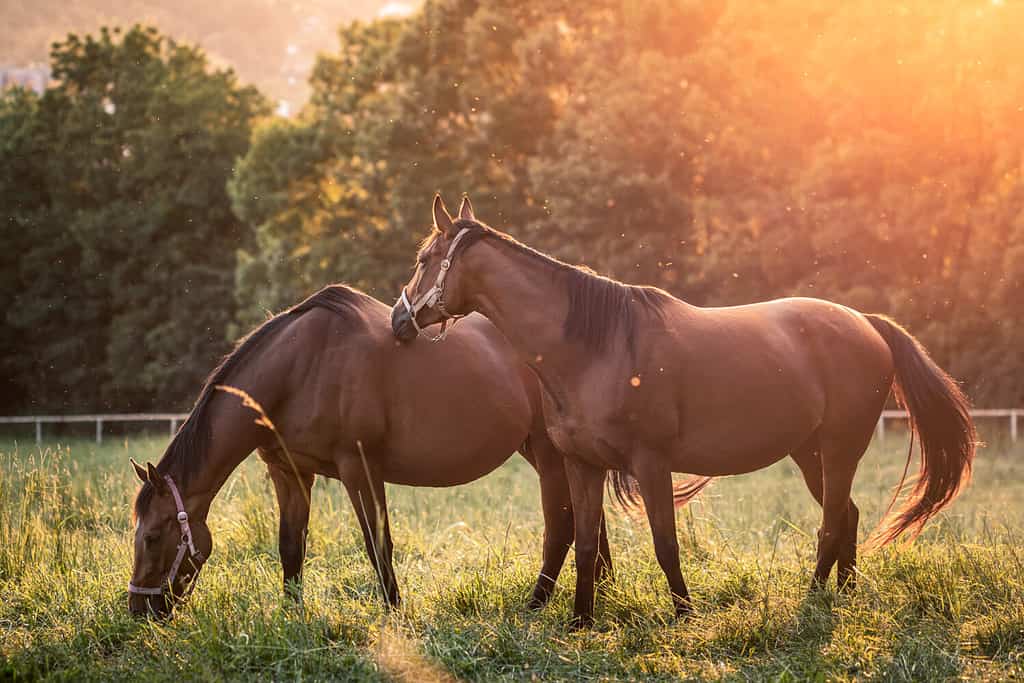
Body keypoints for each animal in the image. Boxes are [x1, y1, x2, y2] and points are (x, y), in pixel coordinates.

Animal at [128, 282, 610, 618]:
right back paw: (602, 593)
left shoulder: (359, 468)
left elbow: (378, 543)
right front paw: (291, 613)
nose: (139, 610)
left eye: (152, 537)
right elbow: (290, 546)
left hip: (549, 455)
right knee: (591, 521)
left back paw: (542, 605)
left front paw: (394, 612)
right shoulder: (290, 473)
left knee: (562, 527)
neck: (299, 368)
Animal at [391, 194, 974, 626]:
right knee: (846, 515)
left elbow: (665, 543)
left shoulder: (651, 465)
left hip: (839, 450)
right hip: (811, 455)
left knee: (831, 524)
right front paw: (580, 622)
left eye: (422, 261)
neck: (596, 346)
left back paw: (813, 602)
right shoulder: (582, 465)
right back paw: (844, 597)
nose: (399, 321)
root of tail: (865, 322)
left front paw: (684, 615)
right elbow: (585, 544)